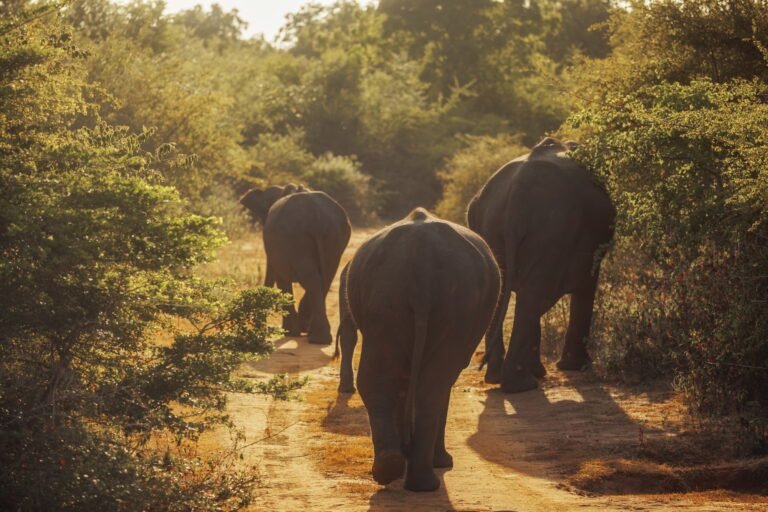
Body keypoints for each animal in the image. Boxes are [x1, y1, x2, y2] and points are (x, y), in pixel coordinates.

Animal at [240, 184, 351, 344]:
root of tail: (316, 215)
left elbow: (281, 278)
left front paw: (289, 332)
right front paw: (298, 330)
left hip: (295, 238)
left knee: (312, 279)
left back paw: (317, 338)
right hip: (334, 236)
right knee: (325, 277)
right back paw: (318, 336)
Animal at [347, 208, 500, 492]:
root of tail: (421, 260)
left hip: (388, 297)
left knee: (385, 378)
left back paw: (394, 469)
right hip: (451, 304)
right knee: (434, 382)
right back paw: (420, 479)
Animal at [467, 137, 616, 393]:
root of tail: (518, 189)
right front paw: (577, 367)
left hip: (492, 228)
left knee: (518, 292)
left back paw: (499, 377)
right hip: (552, 229)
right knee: (536, 294)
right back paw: (522, 385)